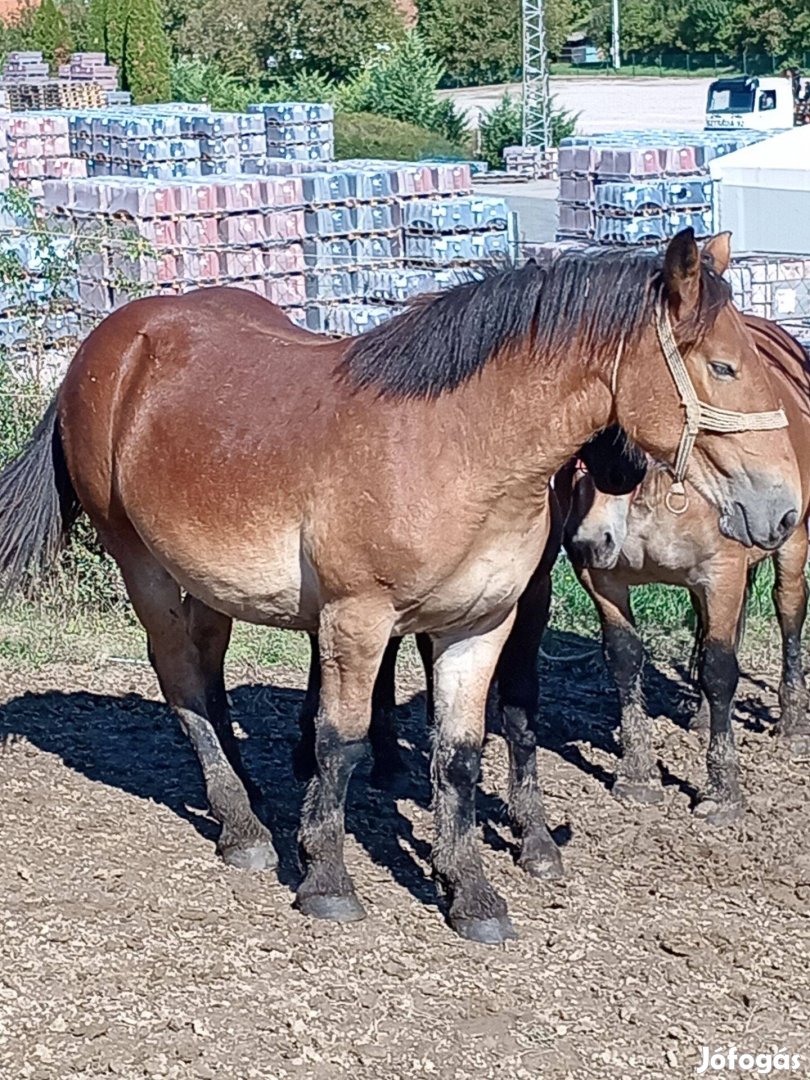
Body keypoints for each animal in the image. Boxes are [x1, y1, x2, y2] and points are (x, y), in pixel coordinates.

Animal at [565, 315, 810, 820]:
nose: (588, 542)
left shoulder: (723, 573)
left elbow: (720, 668)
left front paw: (722, 791)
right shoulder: (601, 581)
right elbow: (625, 659)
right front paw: (637, 775)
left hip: (793, 542)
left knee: (789, 612)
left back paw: (793, 723)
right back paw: (700, 717)